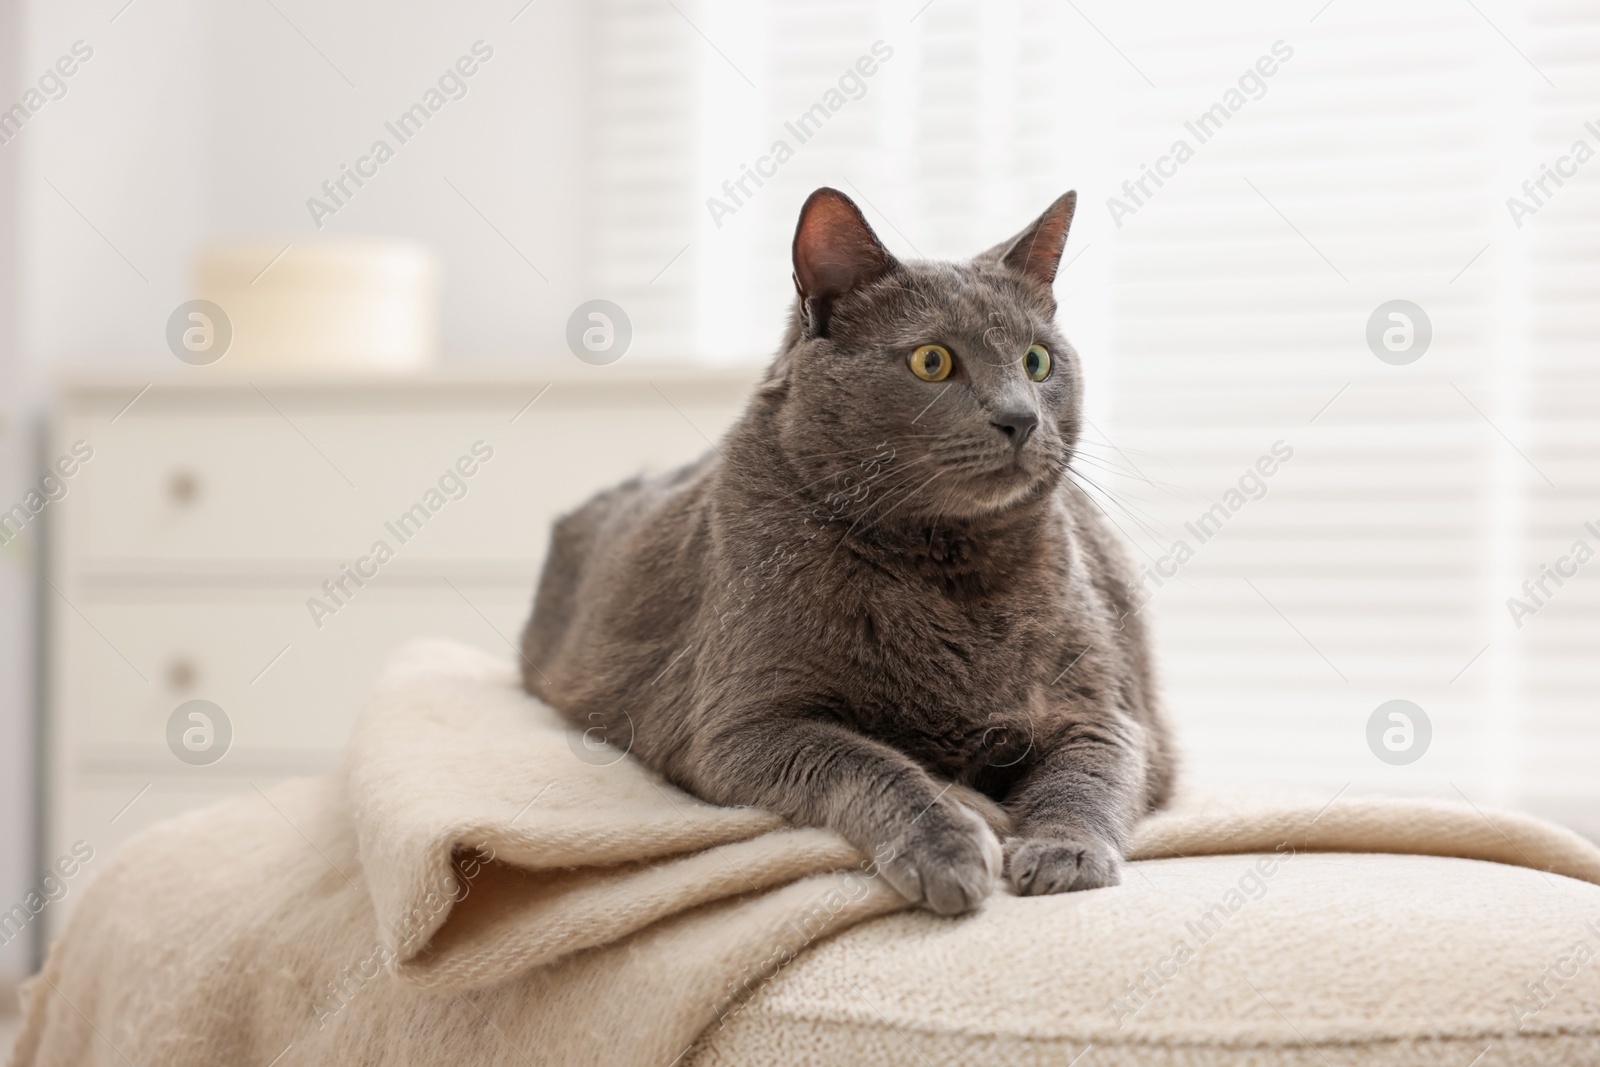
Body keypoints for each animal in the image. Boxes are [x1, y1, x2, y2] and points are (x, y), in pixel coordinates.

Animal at [524, 187, 1177, 915]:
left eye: (1038, 361)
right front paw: (947, 848)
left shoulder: (1106, 708)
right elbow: (868, 760)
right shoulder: (740, 726)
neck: (947, 566)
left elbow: (1089, 772)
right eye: (931, 361)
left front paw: (1065, 852)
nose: (1020, 417)